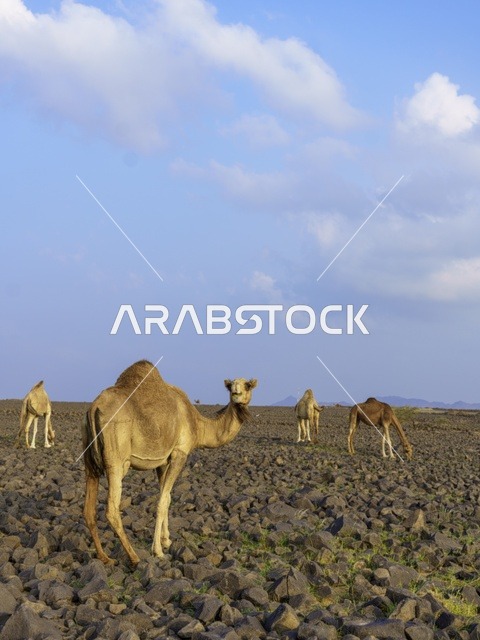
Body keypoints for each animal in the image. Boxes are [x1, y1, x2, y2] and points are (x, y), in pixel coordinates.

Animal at [82, 360, 257, 566]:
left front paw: (166, 540)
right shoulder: (179, 453)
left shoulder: (162, 461)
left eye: (247, 386)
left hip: (89, 461)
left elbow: (167, 497)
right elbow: (162, 500)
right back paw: (134, 557)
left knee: (88, 509)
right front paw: (158, 550)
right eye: (231, 387)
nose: (237, 395)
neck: (197, 424)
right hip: (116, 462)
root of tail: (94, 407)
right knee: (111, 510)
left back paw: (104, 557)